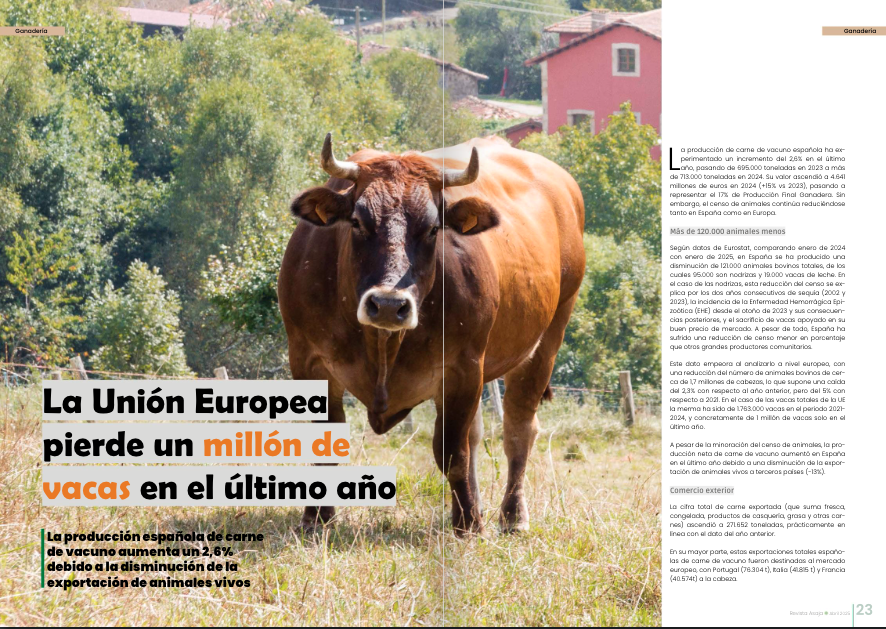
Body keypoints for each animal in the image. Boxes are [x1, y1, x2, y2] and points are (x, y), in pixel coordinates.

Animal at [278, 134, 585, 536]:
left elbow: (452, 452)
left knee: (518, 430)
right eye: (357, 222)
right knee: (478, 435)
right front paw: (317, 520)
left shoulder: (462, 367)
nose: (388, 304)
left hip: (546, 340)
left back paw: (512, 516)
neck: (382, 346)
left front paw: (468, 525)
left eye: (433, 228)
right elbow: (323, 446)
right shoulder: (308, 361)